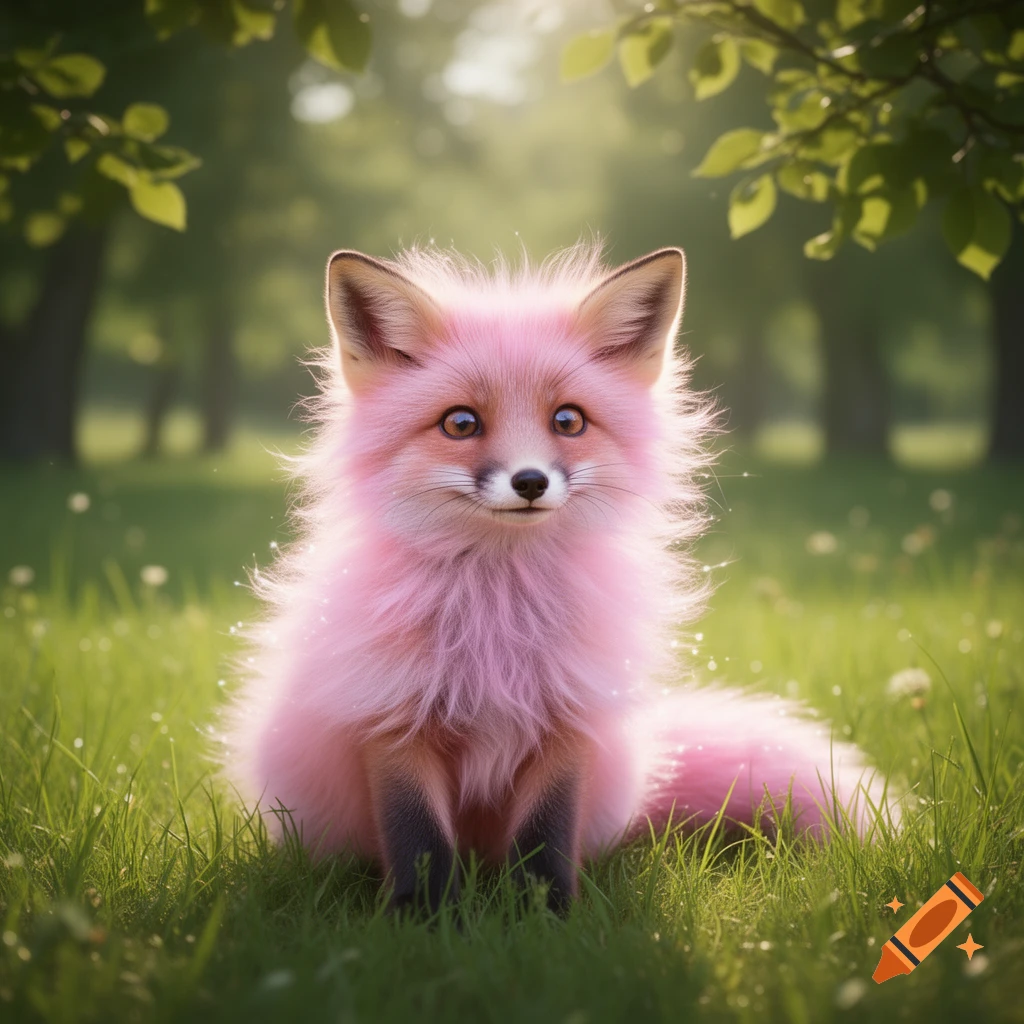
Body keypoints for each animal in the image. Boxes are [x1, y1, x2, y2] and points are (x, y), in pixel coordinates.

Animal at [222, 243, 894, 915]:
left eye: (568, 421)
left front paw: (546, 917)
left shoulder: (570, 713)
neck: (498, 616)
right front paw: (425, 919)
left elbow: (545, 836)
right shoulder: (391, 715)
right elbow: (418, 837)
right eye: (460, 423)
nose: (530, 482)